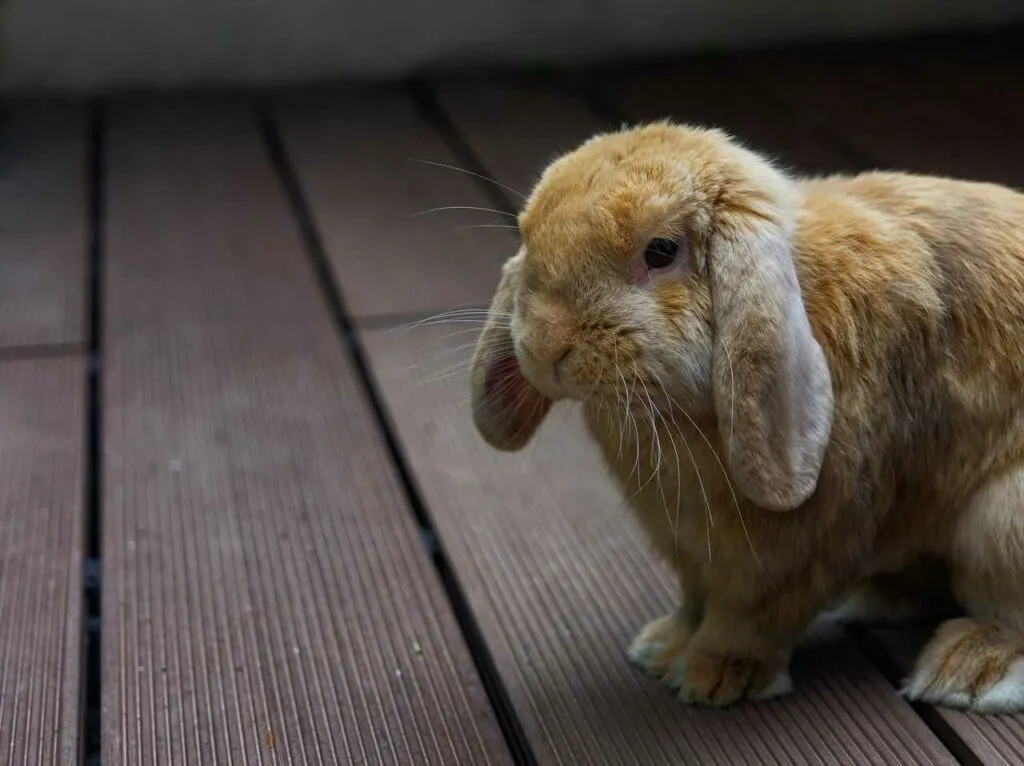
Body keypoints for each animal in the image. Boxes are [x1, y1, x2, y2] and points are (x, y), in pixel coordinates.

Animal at [468, 119, 1024, 712]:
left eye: (660, 251)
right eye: (529, 237)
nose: (545, 346)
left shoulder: (798, 546)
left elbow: (753, 615)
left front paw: (714, 675)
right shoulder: (686, 545)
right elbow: (694, 599)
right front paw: (662, 646)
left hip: (999, 521)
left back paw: (968, 669)